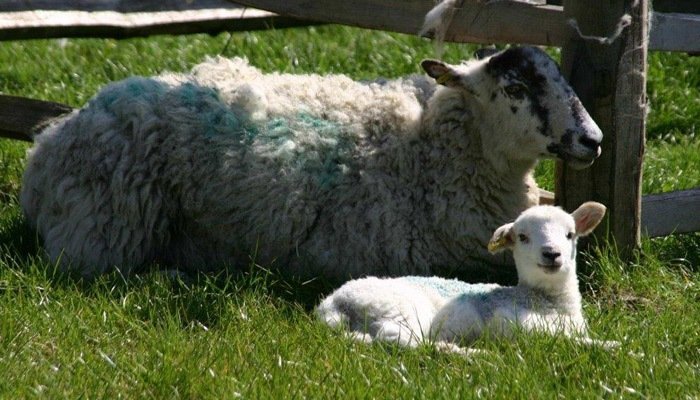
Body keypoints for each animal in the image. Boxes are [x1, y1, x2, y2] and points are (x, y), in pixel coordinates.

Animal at [316, 202, 619, 351]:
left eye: (570, 234)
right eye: (522, 237)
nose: (552, 254)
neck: (547, 301)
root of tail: (332, 306)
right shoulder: (510, 321)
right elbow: (555, 340)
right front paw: (612, 346)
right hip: (397, 308)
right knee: (402, 341)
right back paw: (472, 354)